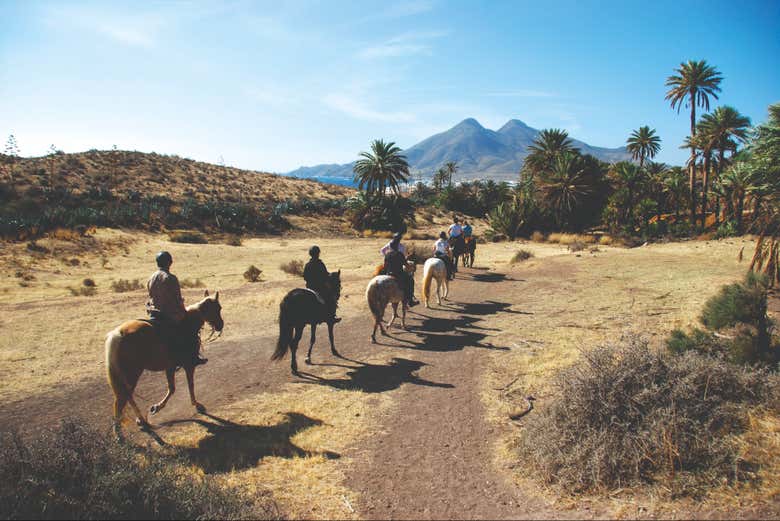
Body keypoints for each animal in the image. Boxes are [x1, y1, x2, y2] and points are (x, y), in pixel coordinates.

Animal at [105, 290, 224, 436]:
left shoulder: (170, 366)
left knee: (127, 397)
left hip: (127, 377)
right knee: (121, 400)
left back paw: (141, 420)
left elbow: (171, 388)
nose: (220, 325)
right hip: (132, 375)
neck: (188, 324)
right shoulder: (189, 365)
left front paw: (156, 407)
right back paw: (120, 432)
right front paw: (196, 404)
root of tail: (117, 334)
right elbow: (190, 385)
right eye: (218, 308)